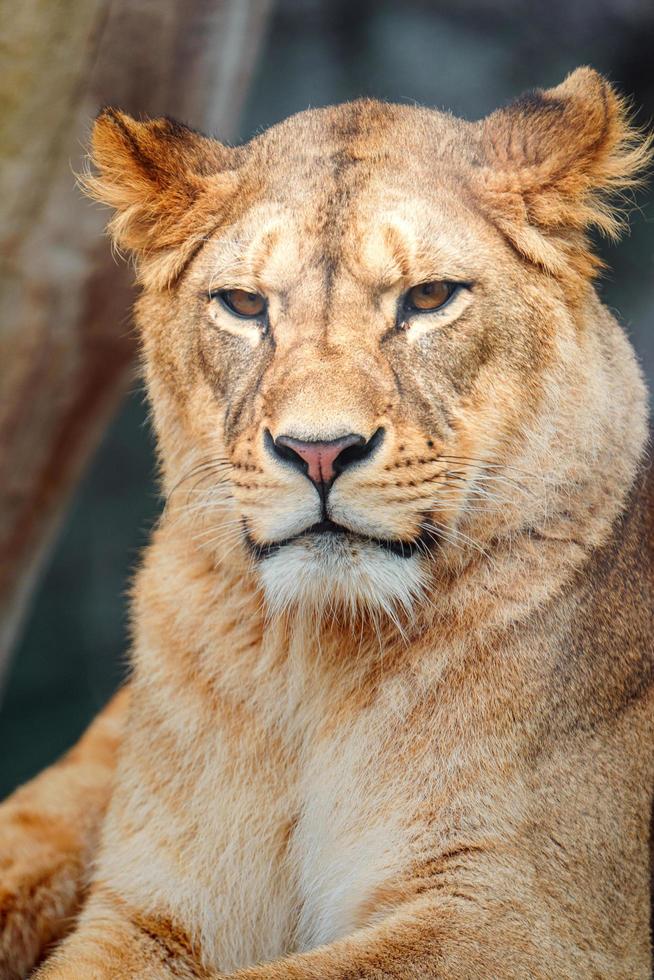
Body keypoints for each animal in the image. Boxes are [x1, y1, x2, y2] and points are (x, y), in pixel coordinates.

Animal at [1, 65, 654, 976]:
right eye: (244, 305)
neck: (311, 661)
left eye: (429, 297)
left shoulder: (526, 919)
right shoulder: (151, 908)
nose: (318, 452)